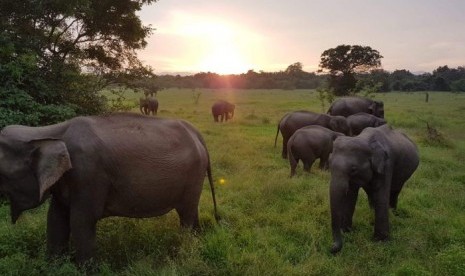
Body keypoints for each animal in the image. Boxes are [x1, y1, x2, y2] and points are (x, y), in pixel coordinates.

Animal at [0, 113, 218, 264]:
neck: (47, 131)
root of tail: (197, 134)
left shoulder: (87, 174)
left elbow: (81, 221)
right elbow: (55, 219)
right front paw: (53, 266)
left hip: (193, 175)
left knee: (186, 214)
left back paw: (184, 251)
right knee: (191, 212)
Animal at [328, 124, 418, 253]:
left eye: (353, 169)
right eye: (329, 164)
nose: (331, 247)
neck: (365, 140)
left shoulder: (387, 164)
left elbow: (381, 195)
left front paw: (380, 241)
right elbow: (351, 195)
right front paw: (346, 232)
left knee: (395, 191)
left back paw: (393, 212)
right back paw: (373, 211)